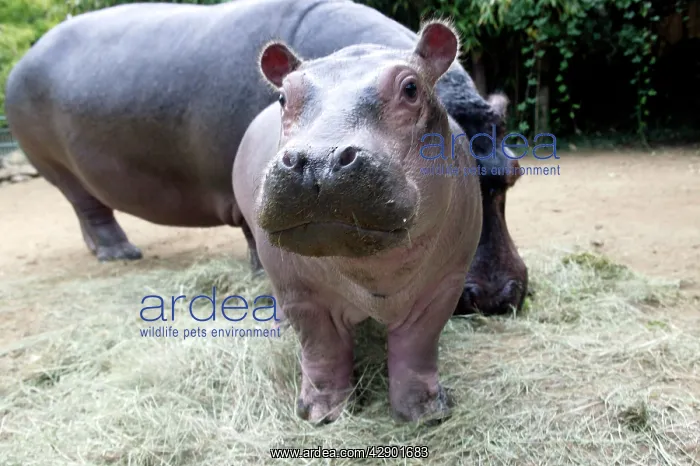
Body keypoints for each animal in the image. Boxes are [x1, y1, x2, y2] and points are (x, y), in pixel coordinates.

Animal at [4, 0, 526, 315]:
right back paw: (120, 253)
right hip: (58, 169)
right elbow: (258, 235)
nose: (495, 297)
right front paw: (262, 271)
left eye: (513, 173)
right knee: (90, 208)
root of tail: (25, 57)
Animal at [234, 21, 480, 423]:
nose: (318, 160)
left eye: (411, 88)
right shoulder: (302, 294)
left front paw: (425, 413)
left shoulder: (444, 285)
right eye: (284, 97)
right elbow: (322, 350)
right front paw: (320, 415)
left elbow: (417, 347)